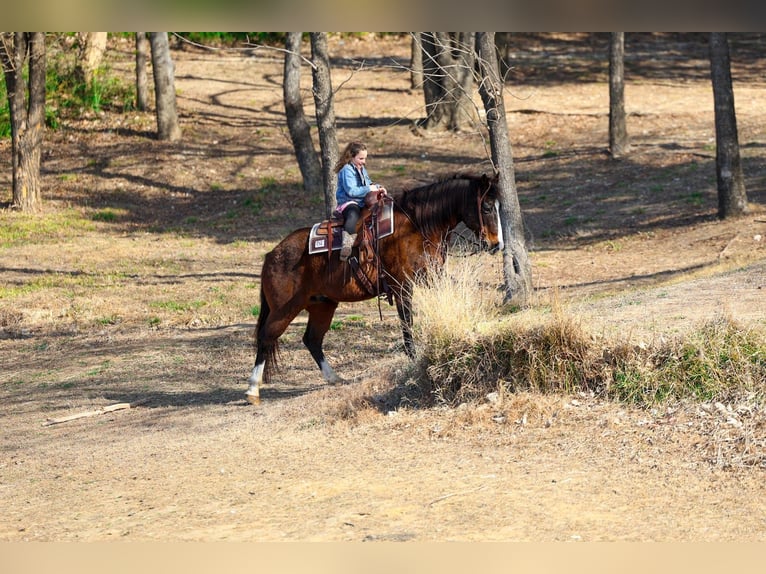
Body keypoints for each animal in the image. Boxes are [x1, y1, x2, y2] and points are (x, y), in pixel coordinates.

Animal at [245, 172, 504, 404]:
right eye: (487, 207)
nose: (496, 244)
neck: (416, 227)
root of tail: (273, 254)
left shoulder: (432, 281)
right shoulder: (403, 288)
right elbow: (407, 326)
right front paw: (413, 359)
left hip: (322, 306)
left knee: (312, 340)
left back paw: (333, 378)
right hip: (284, 309)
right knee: (266, 337)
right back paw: (253, 389)